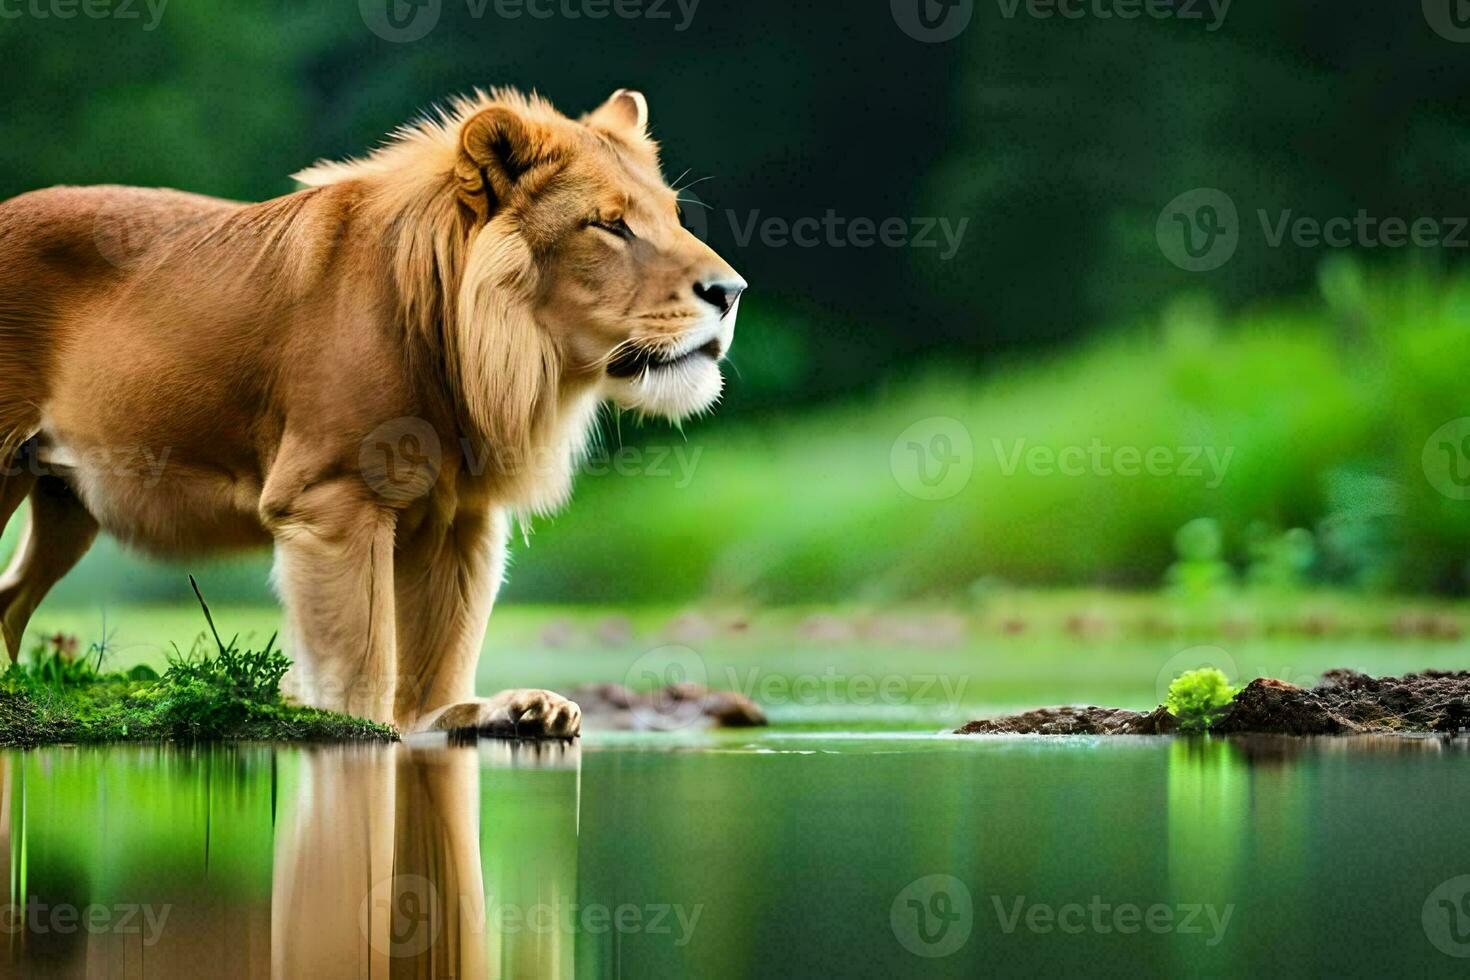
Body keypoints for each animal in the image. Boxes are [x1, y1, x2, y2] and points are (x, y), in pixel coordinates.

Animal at [0, 89, 746, 734]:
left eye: (674, 217)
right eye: (609, 224)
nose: (731, 291)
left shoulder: (461, 520)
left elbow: (438, 665)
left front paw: (500, 713)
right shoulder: (330, 502)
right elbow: (359, 666)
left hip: (65, 505)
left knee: (10, 602)